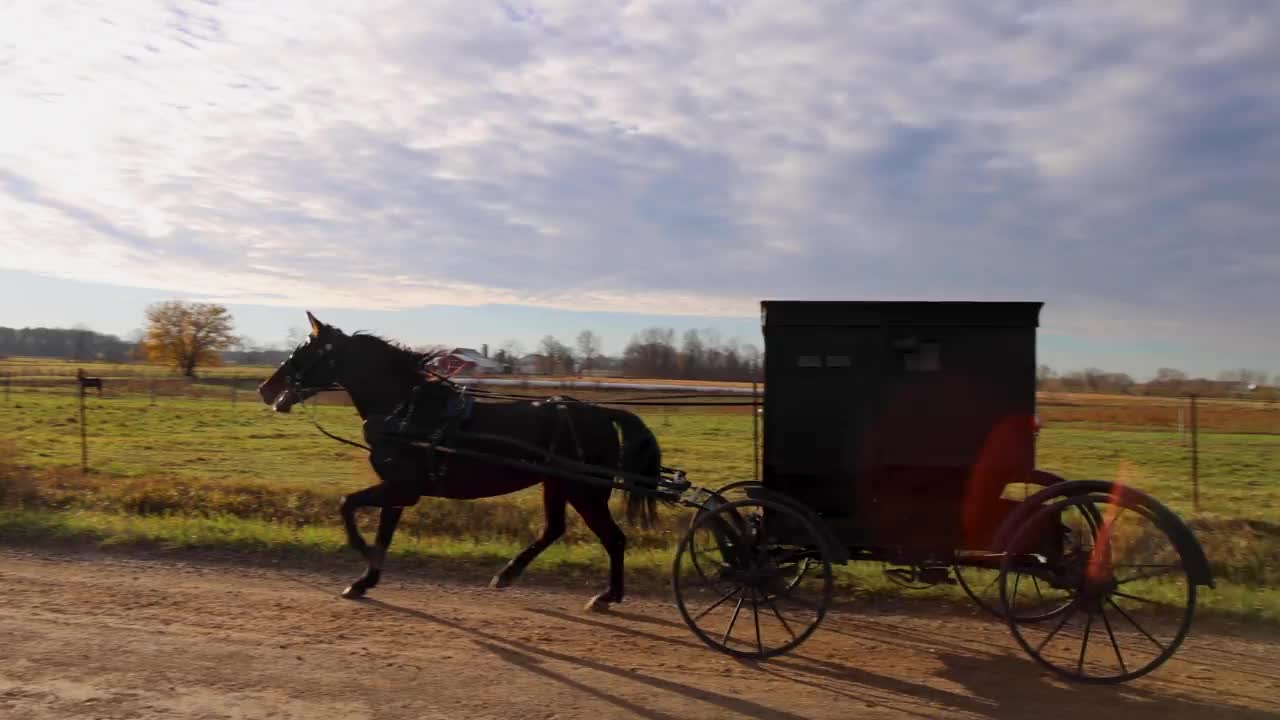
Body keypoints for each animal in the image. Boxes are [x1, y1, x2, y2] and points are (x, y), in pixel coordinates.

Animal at [256, 311, 665, 607]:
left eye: (303, 351)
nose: (265, 389)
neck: (406, 412)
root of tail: (600, 412)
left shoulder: (402, 488)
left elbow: (347, 505)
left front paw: (360, 553)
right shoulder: (399, 491)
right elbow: (383, 533)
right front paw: (365, 579)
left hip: (586, 491)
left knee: (614, 539)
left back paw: (608, 595)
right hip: (557, 485)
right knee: (554, 529)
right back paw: (507, 574)